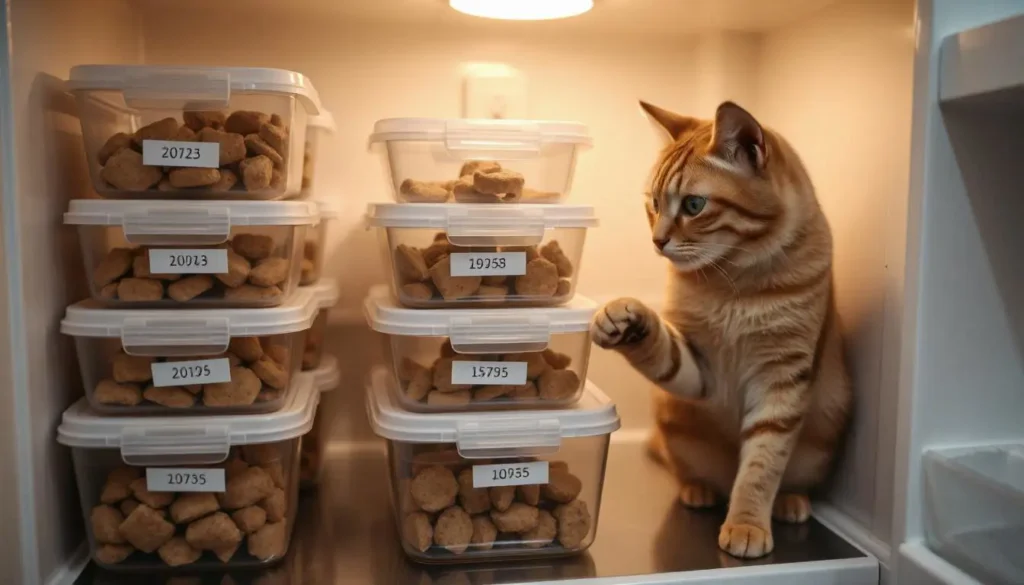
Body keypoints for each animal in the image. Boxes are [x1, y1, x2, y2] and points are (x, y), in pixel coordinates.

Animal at [589, 99, 851, 557]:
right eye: (653, 203)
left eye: (694, 205)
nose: (656, 241)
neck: (736, 284)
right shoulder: (700, 369)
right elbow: (662, 349)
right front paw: (626, 318)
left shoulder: (782, 379)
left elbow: (761, 466)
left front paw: (747, 523)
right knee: (691, 472)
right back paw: (698, 489)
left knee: (786, 480)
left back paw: (790, 501)